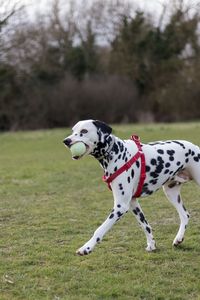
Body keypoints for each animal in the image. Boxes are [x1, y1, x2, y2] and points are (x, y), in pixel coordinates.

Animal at [63, 119, 200, 255]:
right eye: (73, 131)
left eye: (84, 131)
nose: (66, 141)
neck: (116, 153)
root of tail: (195, 147)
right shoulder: (132, 202)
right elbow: (145, 225)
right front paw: (151, 245)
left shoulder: (120, 206)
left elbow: (100, 229)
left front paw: (86, 248)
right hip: (171, 192)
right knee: (185, 215)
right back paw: (178, 239)